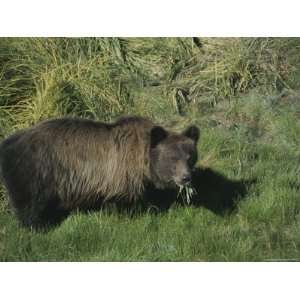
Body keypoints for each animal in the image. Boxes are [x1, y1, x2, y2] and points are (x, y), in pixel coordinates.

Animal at [0, 116, 202, 229]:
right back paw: (37, 227)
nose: (186, 177)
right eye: (173, 158)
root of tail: (7, 143)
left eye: (189, 156)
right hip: (37, 170)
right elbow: (121, 202)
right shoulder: (118, 174)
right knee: (30, 204)